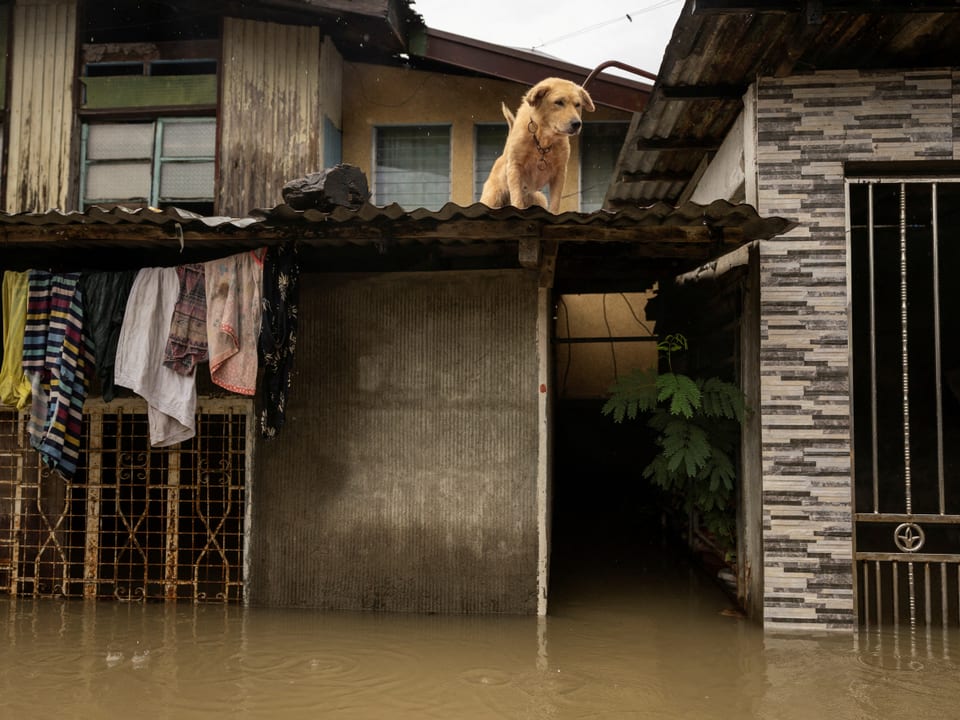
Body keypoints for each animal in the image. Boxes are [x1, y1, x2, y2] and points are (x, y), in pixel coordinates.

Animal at [480, 79, 592, 215]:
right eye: (559, 102)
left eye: (578, 104)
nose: (577, 124)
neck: (543, 140)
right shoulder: (515, 168)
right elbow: (517, 200)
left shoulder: (560, 173)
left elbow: (555, 203)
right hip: (493, 197)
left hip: (539, 198)